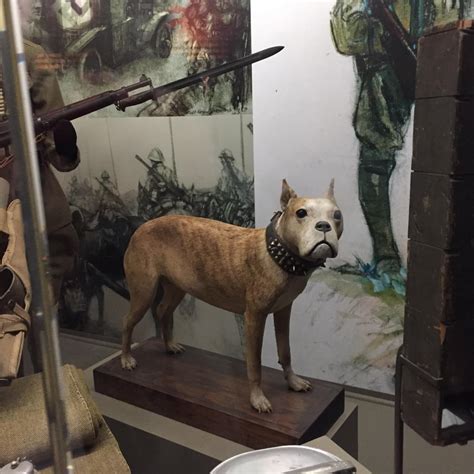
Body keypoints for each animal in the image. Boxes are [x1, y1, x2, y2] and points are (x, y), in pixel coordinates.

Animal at [121, 180, 344, 412]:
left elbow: (285, 351)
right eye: (301, 213)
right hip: (143, 291)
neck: (281, 255)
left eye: (337, 215)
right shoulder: (254, 317)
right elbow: (254, 363)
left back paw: (169, 345)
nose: (324, 226)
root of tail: (141, 228)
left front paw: (293, 382)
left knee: (163, 310)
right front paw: (257, 399)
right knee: (128, 321)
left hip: (176, 288)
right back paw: (126, 359)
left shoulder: (283, 310)